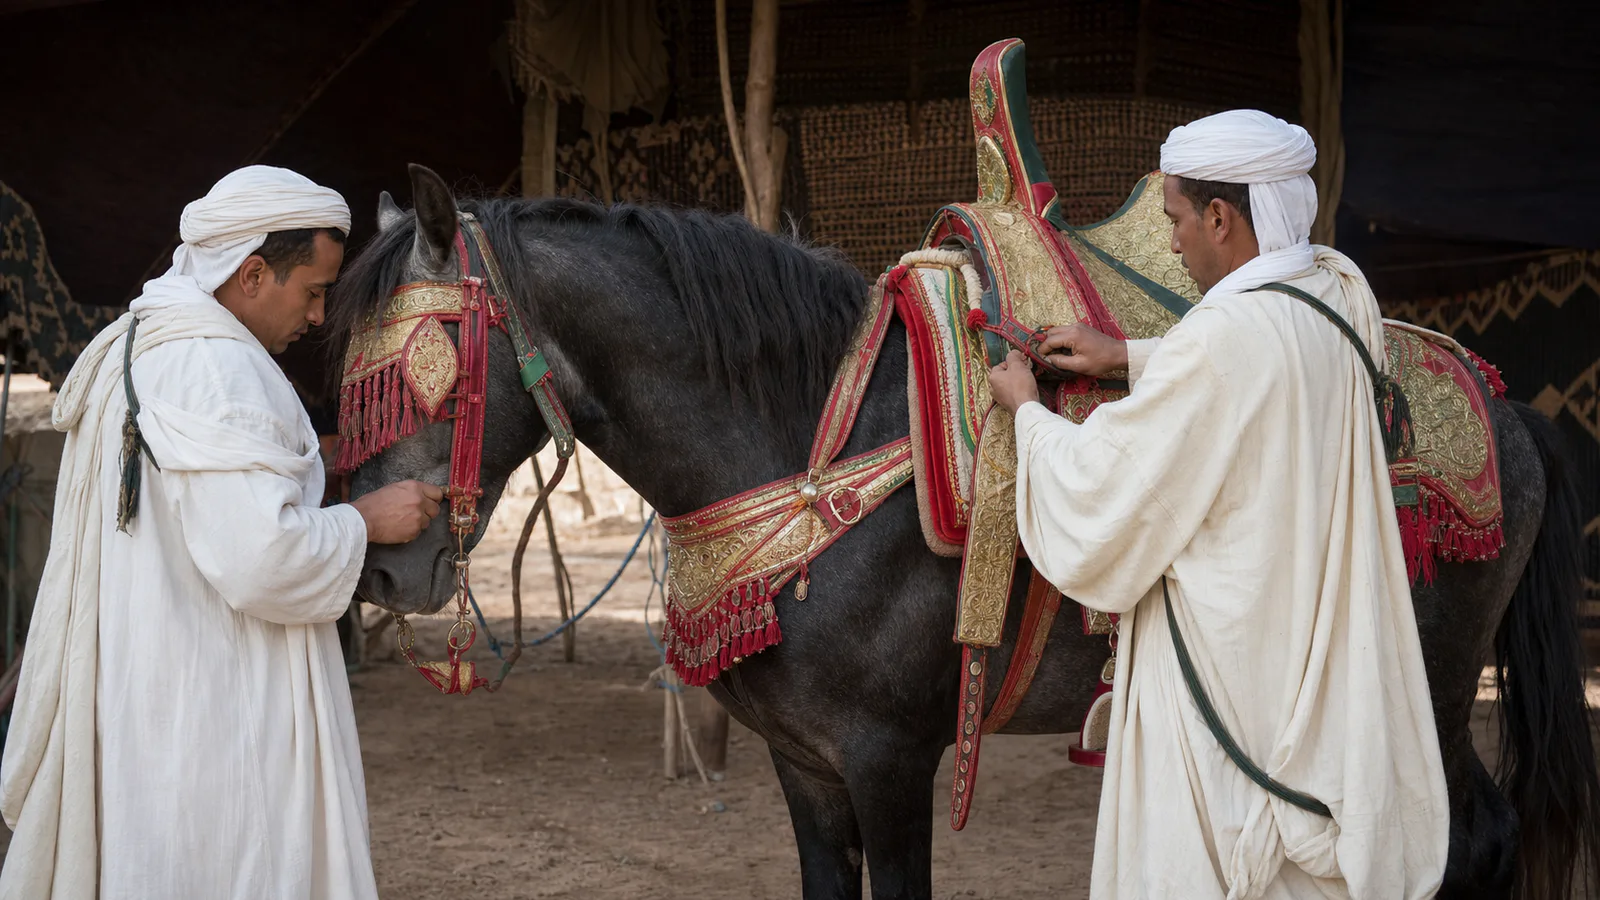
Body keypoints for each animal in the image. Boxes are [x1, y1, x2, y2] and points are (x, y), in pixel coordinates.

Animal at [331, 164, 1599, 900]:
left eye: (418, 372)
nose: (385, 564)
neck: (810, 440)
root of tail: (1507, 410)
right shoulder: (804, 766)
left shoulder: (892, 761)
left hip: (1419, 685)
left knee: (1463, 842)